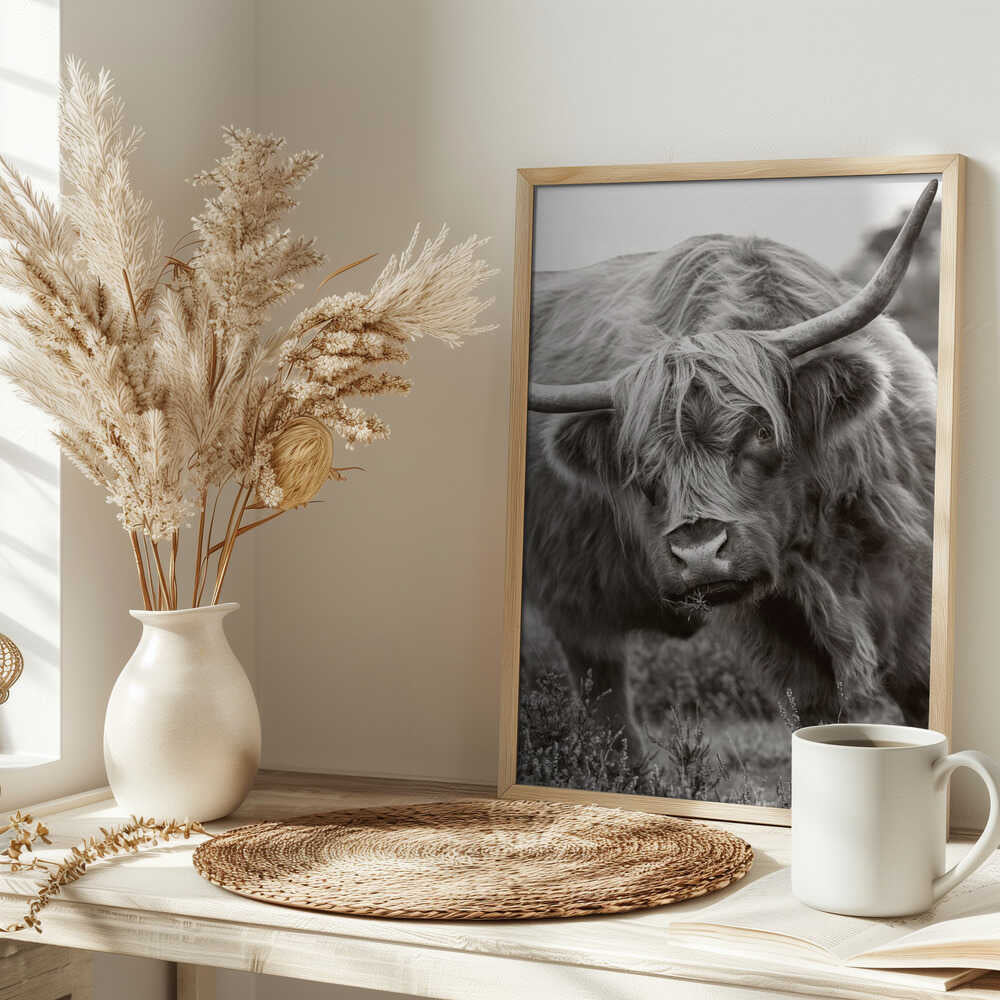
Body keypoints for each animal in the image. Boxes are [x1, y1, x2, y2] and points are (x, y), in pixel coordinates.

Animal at [522, 181, 938, 764]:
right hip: (572, 600)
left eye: (761, 432)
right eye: (639, 460)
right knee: (608, 708)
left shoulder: (908, 569)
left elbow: (918, 686)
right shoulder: (773, 623)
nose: (698, 552)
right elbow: (813, 711)